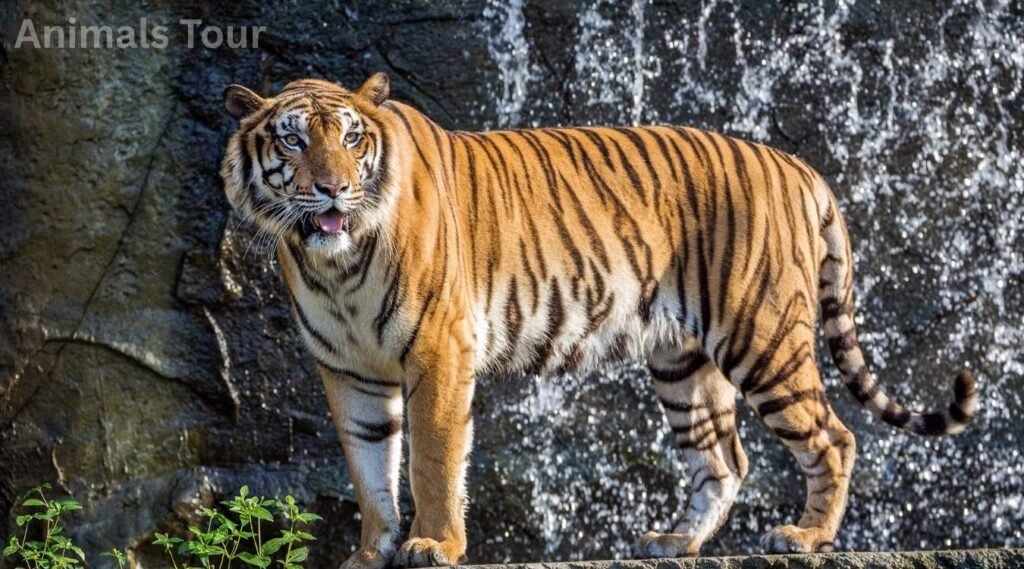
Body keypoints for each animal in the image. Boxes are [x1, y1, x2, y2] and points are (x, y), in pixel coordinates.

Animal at [219, 73, 978, 567]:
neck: (334, 263)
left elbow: (432, 458)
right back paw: (676, 543)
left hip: (762, 338)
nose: (334, 189)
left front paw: (433, 544)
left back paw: (806, 538)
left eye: (352, 139)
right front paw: (370, 552)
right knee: (724, 460)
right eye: (292, 142)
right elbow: (369, 465)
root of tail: (795, 164)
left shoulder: (438, 351)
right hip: (684, 364)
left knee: (833, 438)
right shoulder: (348, 369)